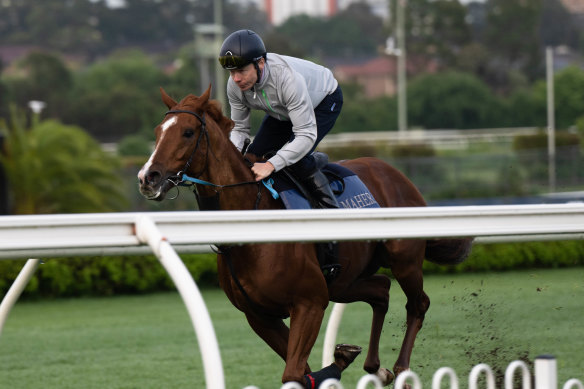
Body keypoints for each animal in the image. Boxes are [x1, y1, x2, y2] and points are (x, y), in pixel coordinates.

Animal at [138, 86, 474, 386]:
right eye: (157, 131)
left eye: (187, 132)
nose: (147, 178)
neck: (251, 224)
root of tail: (397, 175)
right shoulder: (259, 316)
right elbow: (301, 372)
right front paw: (342, 357)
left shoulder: (309, 302)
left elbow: (294, 373)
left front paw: (341, 359)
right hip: (343, 282)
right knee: (381, 290)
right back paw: (375, 367)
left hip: (403, 260)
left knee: (418, 303)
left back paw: (402, 371)